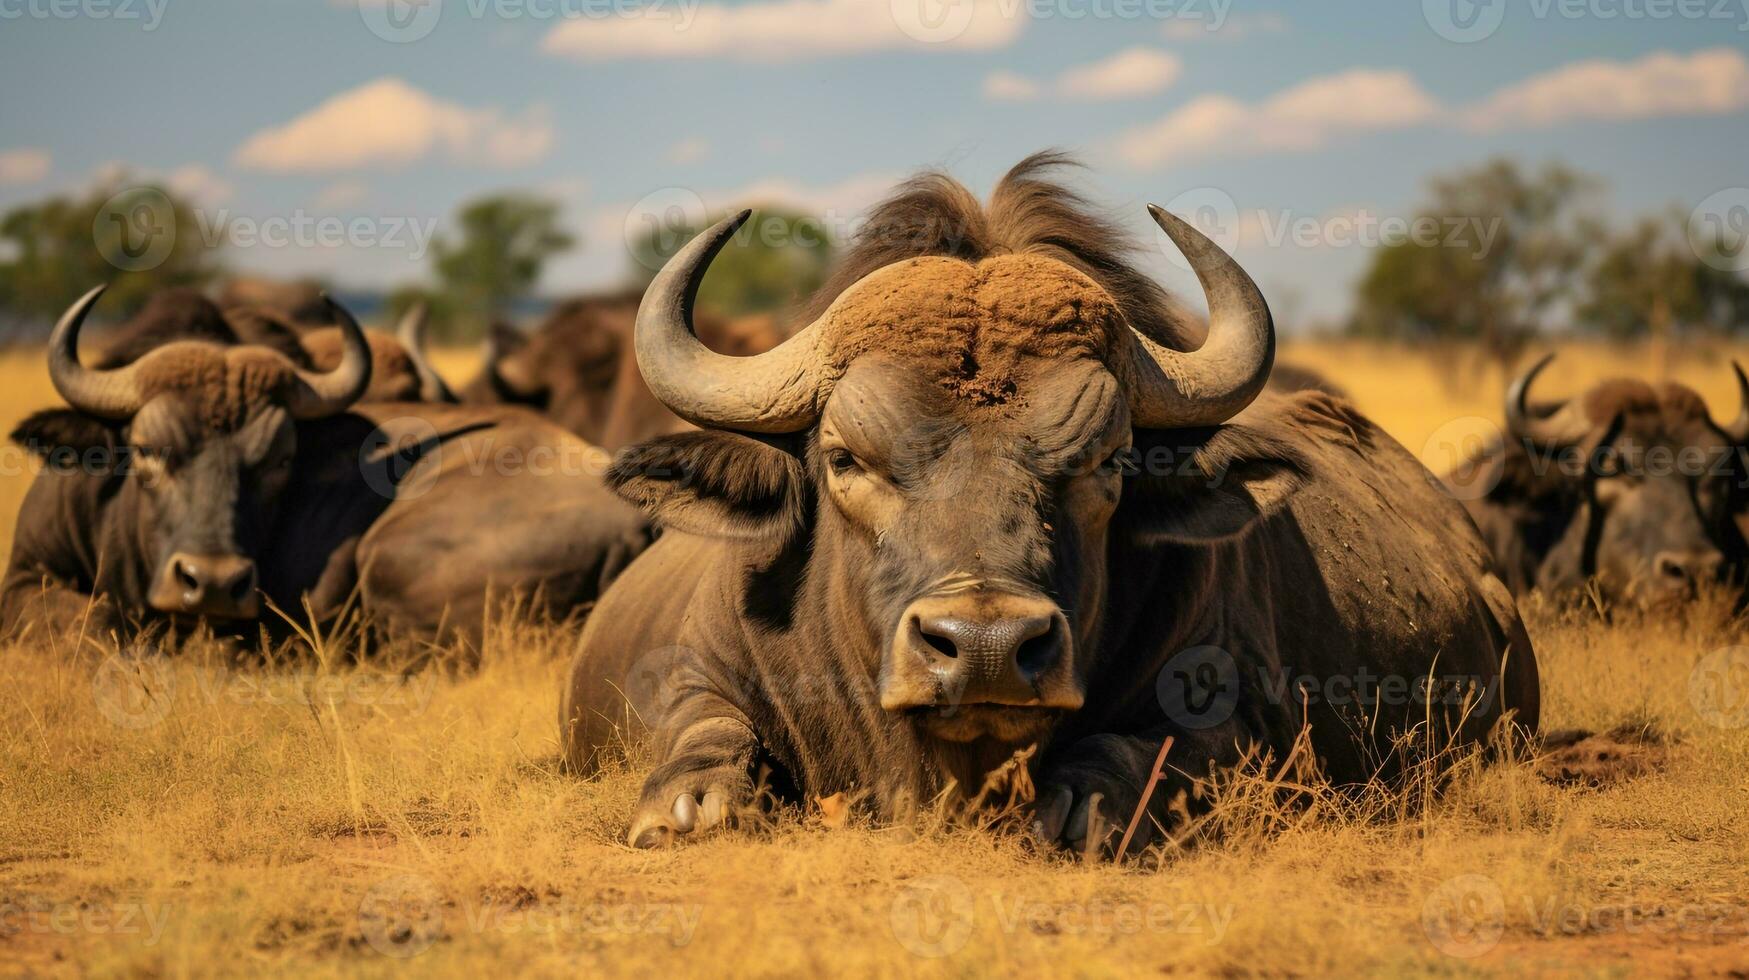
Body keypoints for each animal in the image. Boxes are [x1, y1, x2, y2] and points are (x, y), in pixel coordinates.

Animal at [0, 287, 650, 647]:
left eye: (280, 459)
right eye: (147, 450)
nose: (212, 581)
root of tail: (633, 526)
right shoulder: (24, 576)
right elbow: (93, 622)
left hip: (387, 558)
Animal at [559, 156, 1532, 854]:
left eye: (1106, 461)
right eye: (843, 458)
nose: (986, 648)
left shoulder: (1234, 718)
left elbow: (1130, 759)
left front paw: (1081, 807)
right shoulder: (699, 671)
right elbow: (704, 746)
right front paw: (691, 806)